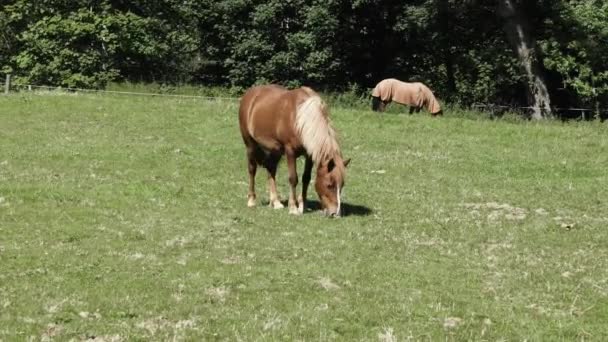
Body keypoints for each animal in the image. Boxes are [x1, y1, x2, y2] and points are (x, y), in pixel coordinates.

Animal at [239, 84, 350, 216]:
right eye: (329, 185)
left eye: (342, 185)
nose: (335, 213)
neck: (301, 119)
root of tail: (250, 94)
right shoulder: (290, 151)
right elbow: (293, 178)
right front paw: (293, 208)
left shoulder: (309, 154)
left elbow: (306, 178)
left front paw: (303, 206)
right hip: (250, 145)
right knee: (252, 170)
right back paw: (251, 200)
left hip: (275, 150)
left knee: (271, 170)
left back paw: (275, 202)